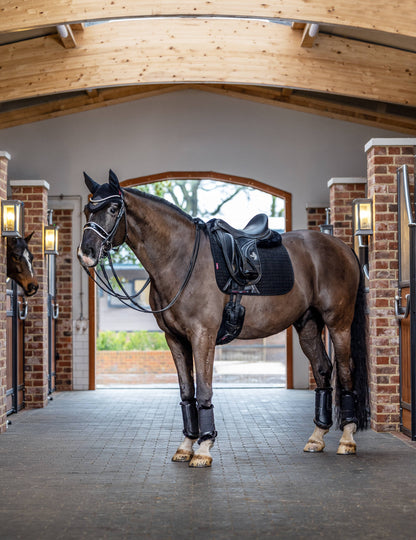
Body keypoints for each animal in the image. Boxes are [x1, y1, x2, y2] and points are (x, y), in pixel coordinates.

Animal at [77, 171, 368, 466]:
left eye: (113, 209)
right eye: (88, 208)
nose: (86, 252)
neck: (180, 259)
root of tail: (342, 247)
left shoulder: (202, 335)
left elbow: (204, 389)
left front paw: (203, 449)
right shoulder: (175, 339)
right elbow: (187, 392)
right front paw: (186, 445)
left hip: (339, 323)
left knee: (346, 371)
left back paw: (347, 439)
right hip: (308, 325)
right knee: (323, 370)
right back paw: (317, 438)